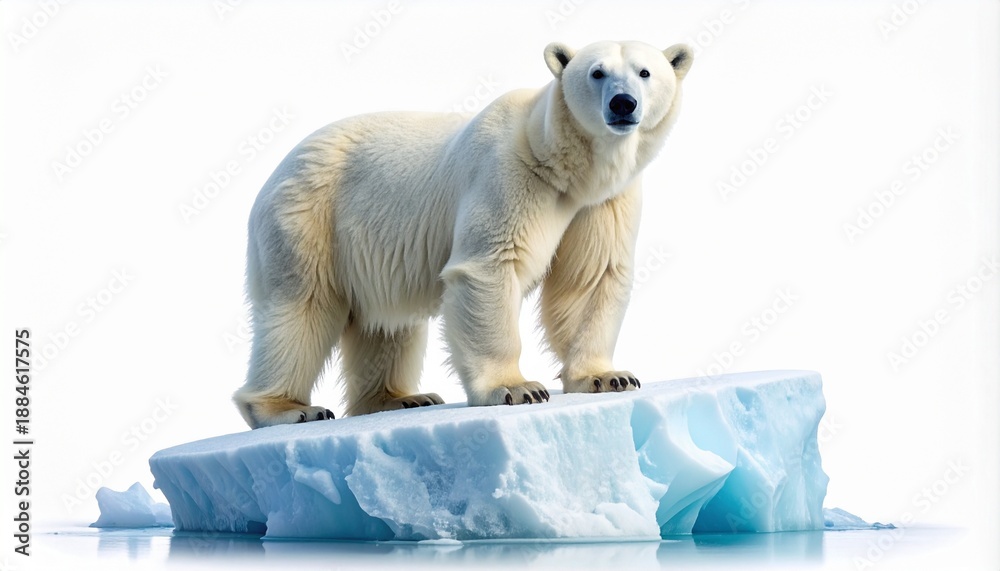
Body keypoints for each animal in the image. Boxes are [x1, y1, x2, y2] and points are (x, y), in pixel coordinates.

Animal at [233, 40, 693, 428]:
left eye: (645, 71)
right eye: (597, 72)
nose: (623, 103)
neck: (565, 168)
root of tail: (276, 171)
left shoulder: (602, 204)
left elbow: (589, 279)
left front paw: (609, 377)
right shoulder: (510, 174)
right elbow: (490, 265)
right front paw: (516, 388)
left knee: (387, 323)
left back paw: (400, 397)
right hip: (308, 218)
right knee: (302, 307)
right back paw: (289, 408)